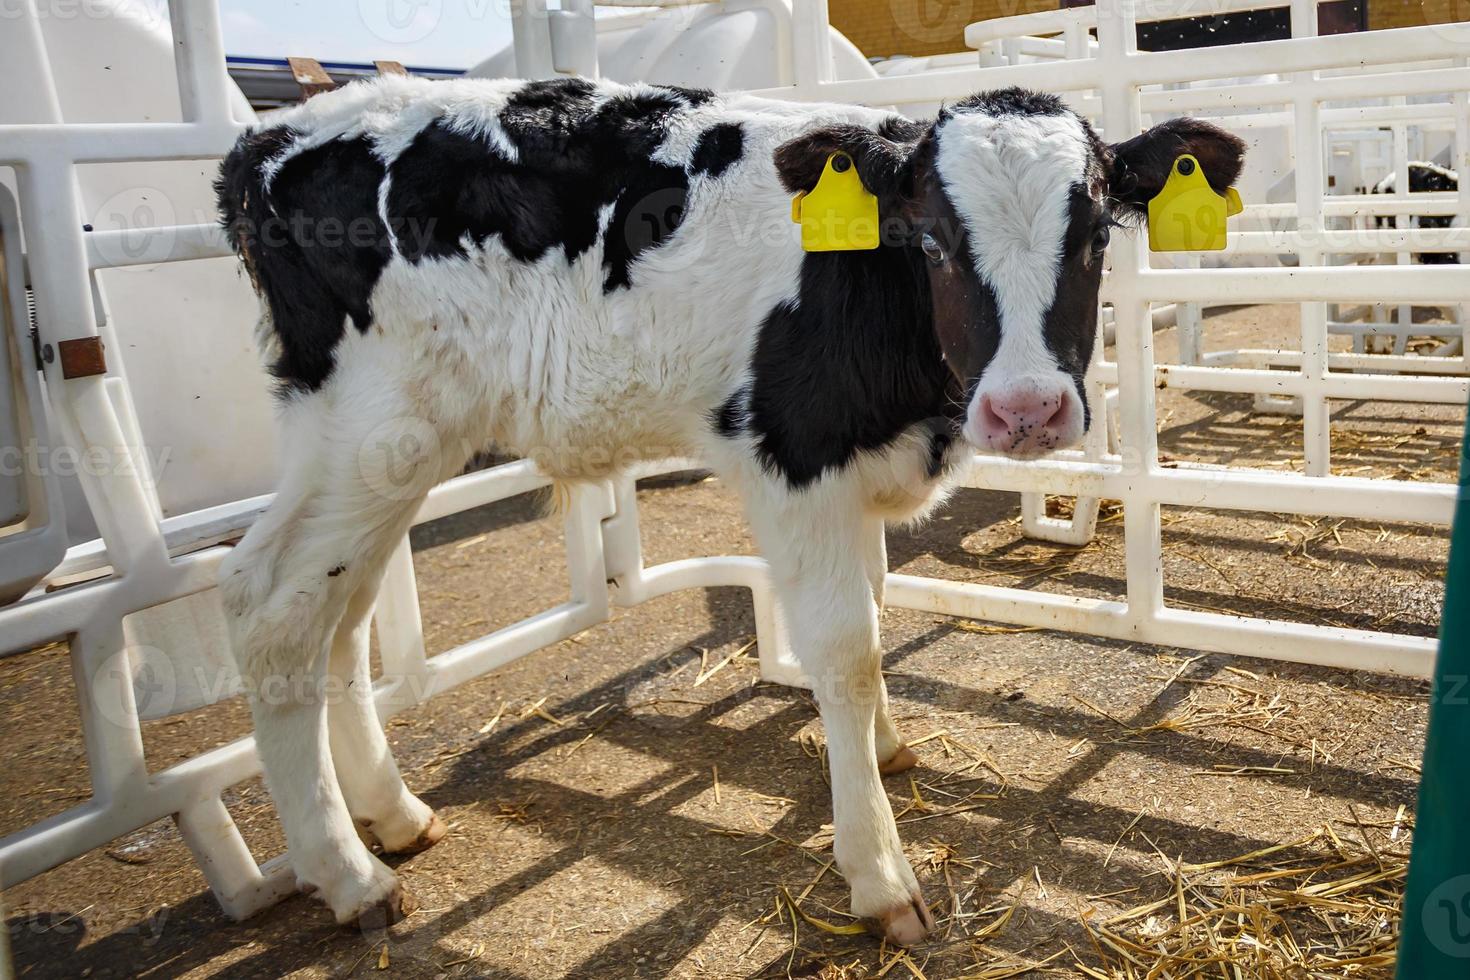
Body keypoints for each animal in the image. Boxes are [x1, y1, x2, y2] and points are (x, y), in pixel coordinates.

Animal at [214, 78, 1240, 952]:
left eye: (1094, 235)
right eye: (933, 239)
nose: (1027, 409)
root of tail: (271, 138)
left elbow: (874, 608)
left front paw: (885, 750)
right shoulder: (795, 461)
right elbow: (846, 650)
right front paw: (879, 873)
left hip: (389, 456)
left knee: (342, 621)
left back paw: (392, 817)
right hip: (370, 430)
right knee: (270, 609)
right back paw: (348, 875)